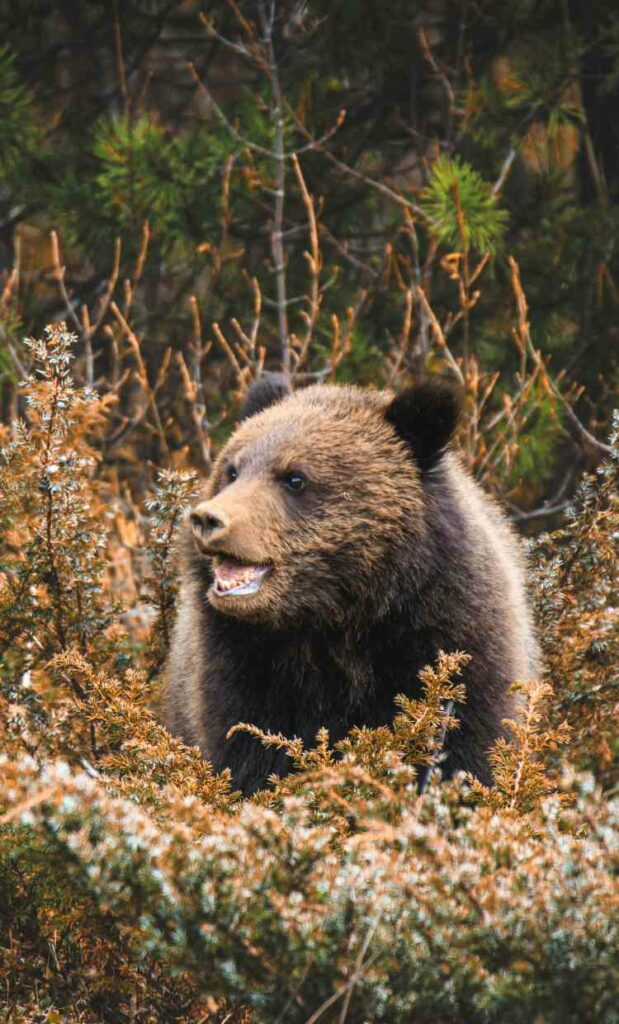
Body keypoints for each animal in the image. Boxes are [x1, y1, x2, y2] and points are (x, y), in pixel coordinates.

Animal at [166, 377, 540, 795]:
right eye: (232, 470)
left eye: (295, 478)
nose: (208, 519)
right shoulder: (242, 666)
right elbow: (245, 752)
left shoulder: (456, 644)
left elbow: (466, 752)